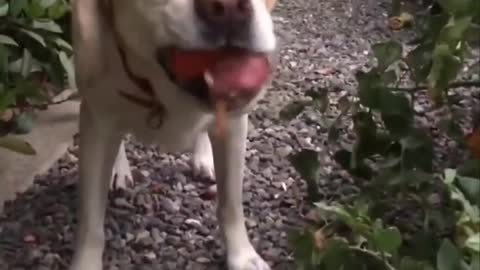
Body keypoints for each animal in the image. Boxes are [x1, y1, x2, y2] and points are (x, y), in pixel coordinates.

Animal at [69, 0, 276, 268]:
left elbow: (231, 203)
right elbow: (91, 220)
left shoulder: (234, 125)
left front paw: (242, 256)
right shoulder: (96, 122)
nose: (228, 7)